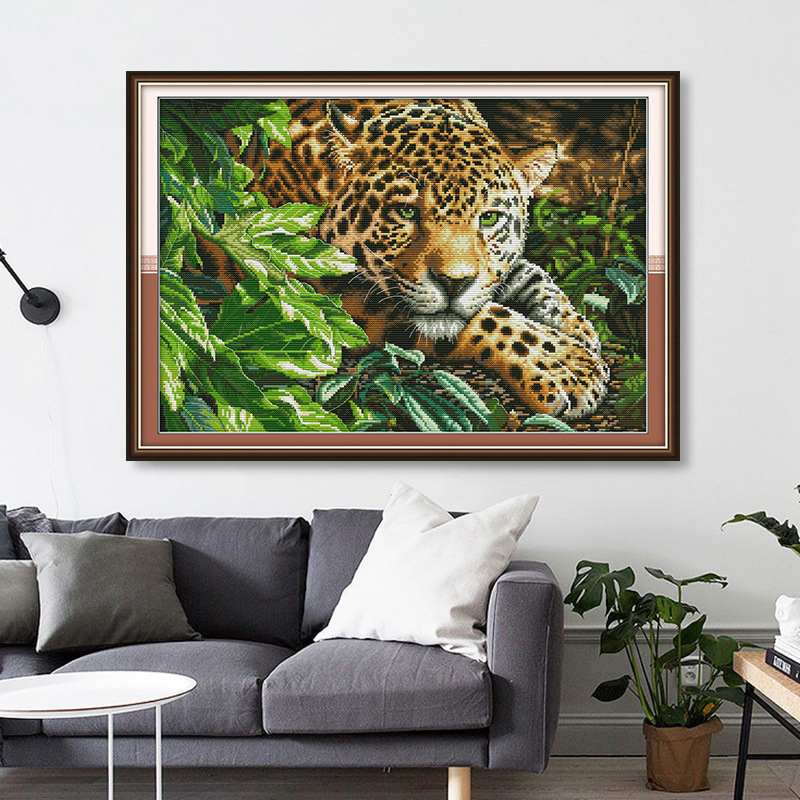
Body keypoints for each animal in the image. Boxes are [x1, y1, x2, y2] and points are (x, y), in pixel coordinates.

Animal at [235, 98, 610, 420]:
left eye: (489, 218)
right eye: (405, 212)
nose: (454, 284)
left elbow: (534, 279)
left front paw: (581, 331)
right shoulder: (313, 286)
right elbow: (489, 318)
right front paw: (567, 365)